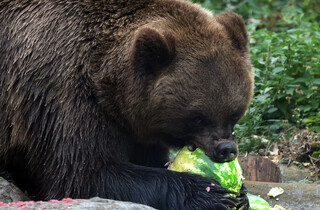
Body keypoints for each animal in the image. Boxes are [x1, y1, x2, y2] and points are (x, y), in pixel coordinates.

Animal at [0, 0, 252, 209]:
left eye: (234, 113)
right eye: (198, 117)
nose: (226, 149)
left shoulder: (138, 124)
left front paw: (241, 193)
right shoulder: (63, 94)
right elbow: (85, 174)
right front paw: (210, 193)